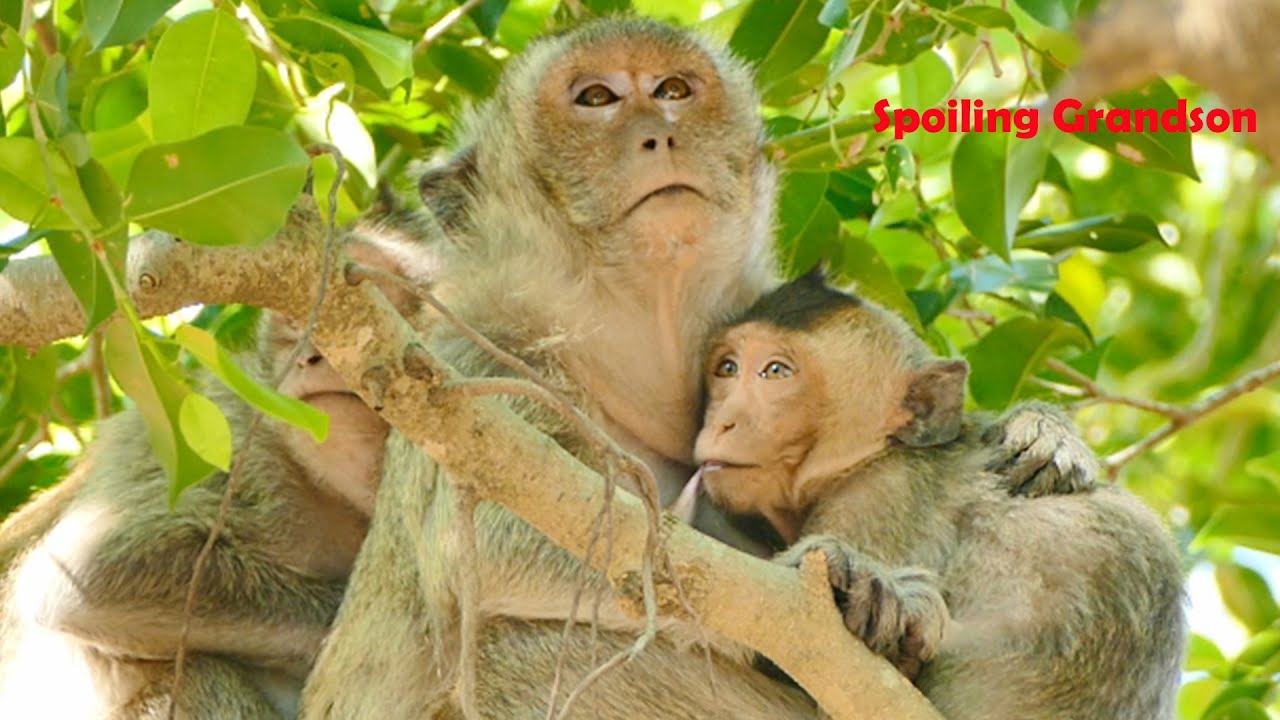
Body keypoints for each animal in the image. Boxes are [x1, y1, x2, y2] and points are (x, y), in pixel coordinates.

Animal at [300, 17, 1108, 720]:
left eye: (673, 89)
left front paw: (1041, 432)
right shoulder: (477, 364)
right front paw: (855, 593)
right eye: (596, 99)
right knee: (511, 652)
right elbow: (496, 545)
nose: (660, 131)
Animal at [688, 271, 1185, 719]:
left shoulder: (883, 493)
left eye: (776, 371)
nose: (723, 420)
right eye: (727, 368)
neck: (873, 454)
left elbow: (802, 657)